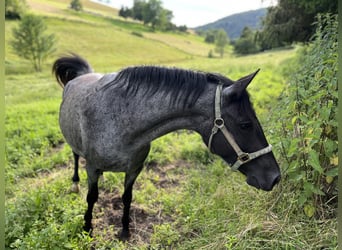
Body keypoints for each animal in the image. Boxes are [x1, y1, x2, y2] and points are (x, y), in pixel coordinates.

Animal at [52, 54, 280, 240]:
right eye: (245, 124)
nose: (275, 177)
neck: (120, 118)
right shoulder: (91, 166)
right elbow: (92, 198)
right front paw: (87, 228)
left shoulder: (134, 169)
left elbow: (127, 198)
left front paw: (125, 231)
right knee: (75, 156)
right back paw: (75, 184)